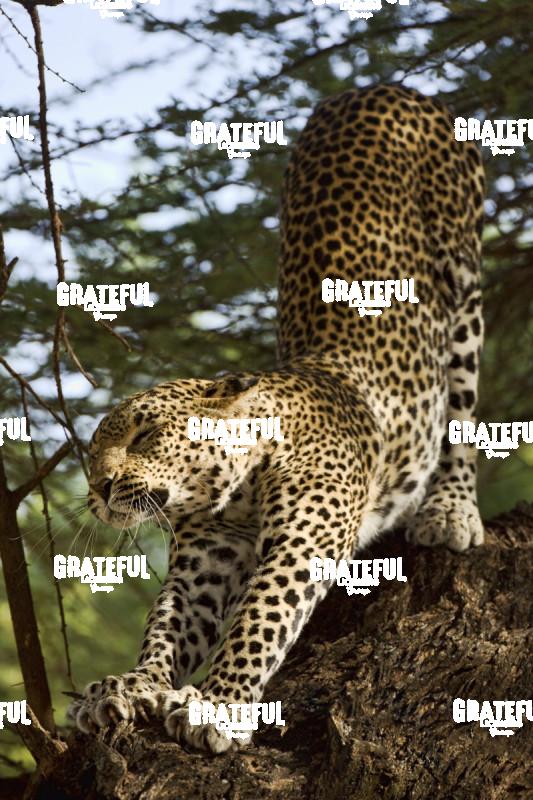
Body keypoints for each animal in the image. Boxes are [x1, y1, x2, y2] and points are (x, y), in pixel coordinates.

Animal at [69, 84, 485, 754]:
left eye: (146, 434)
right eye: (90, 453)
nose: (98, 488)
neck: (233, 493)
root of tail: (382, 88)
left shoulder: (303, 543)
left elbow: (260, 618)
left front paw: (217, 706)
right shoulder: (203, 564)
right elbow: (165, 626)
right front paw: (133, 685)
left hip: (463, 276)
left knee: (463, 409)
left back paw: (450, 510)